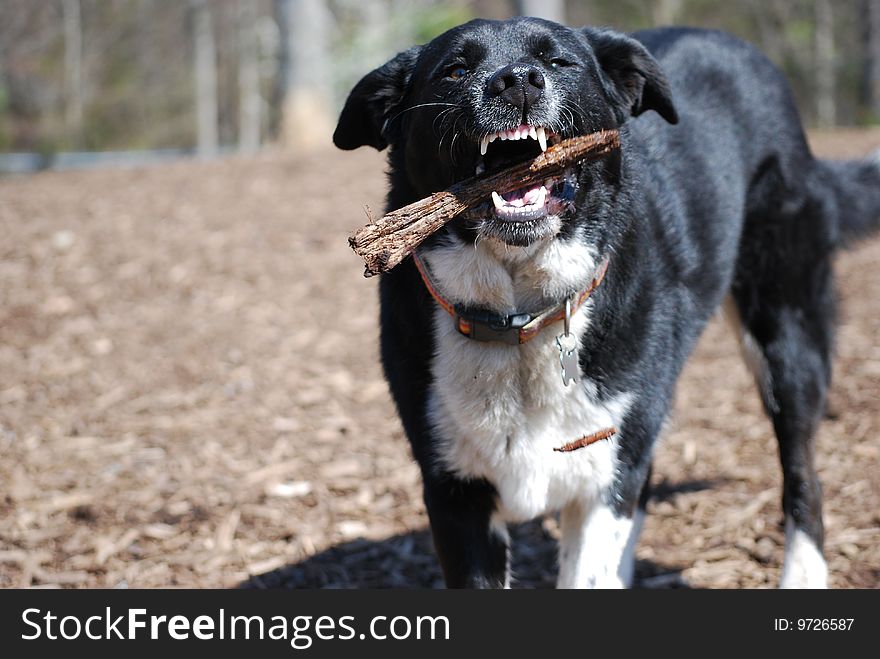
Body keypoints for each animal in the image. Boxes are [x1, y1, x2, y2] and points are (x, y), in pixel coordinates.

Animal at [332, 19, 880, 588]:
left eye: (557, 62)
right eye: (456, 69)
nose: (517, 81)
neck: (519, 314)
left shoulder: (603, 480)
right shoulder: (453, 492)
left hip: (785, 340)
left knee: (803, 477)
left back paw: (803, 571)